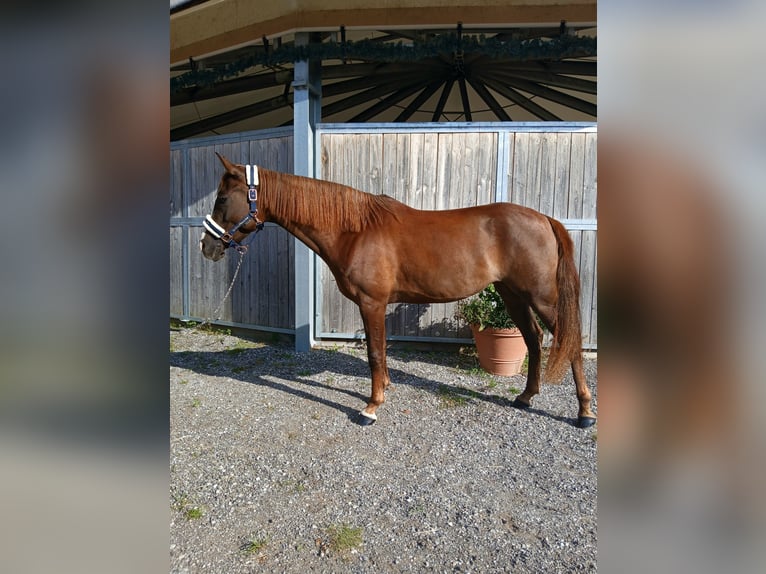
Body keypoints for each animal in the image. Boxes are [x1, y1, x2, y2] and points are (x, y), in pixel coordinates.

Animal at [201, 155, 596, 430]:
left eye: (222, 199)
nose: (207, 247)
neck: (355, 230)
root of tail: (544, 218)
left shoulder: (371, 303)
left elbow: (375, 353)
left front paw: (371, 408)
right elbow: (382, 351)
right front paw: (385, 390)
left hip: (541, 297)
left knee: (569, 342)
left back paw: (584, 413)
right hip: (512, 294)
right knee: (533, 339)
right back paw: (526, 397)